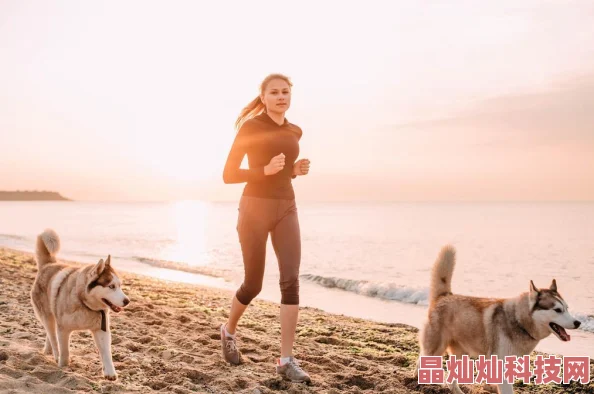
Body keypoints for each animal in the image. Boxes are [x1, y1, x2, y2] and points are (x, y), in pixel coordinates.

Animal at [30, 229, 130, 380]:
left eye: (120, 286)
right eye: (111, 286)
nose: (127, 301)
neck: (85, 304)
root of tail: (48, 265)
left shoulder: (101, 329)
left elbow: (106, 352)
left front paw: (110, 373)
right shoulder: (63, 329)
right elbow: (64, 353)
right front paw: (63, 366)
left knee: (50, 334)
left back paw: (48, 350)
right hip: (47, 316)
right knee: (52, 334)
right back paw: (54, 353)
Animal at [418, 246, 580, 394]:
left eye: (567, 308)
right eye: (558, 310)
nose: (578, 323)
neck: (519, 322)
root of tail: (444, 296)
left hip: (462, 355)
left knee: (450, 378)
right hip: (435, 350)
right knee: (421, 361)